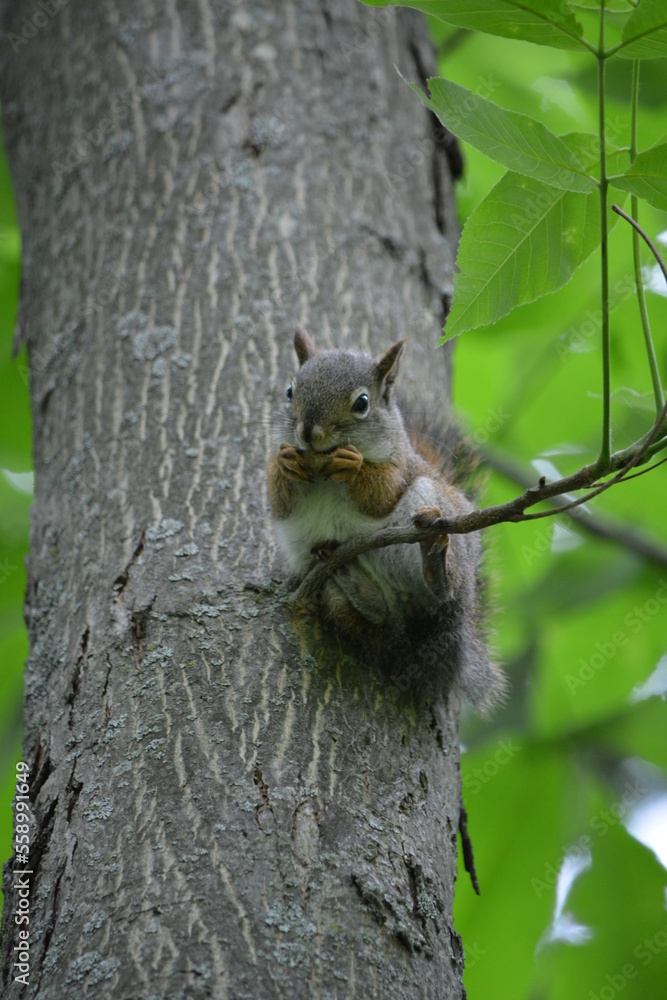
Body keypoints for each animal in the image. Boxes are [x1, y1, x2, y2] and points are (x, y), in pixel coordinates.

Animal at [266, 326, 503, 713]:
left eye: (362, 403)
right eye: (290, 391)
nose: (308, 432)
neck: (322, 470)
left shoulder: (401, 465)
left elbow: (379, 496)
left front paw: (354, 465)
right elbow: (279, 501)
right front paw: (283, 462)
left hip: (433, 517)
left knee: (439, 594)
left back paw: (434, 566)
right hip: (335, 592)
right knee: (379, 621)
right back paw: (357, 585)